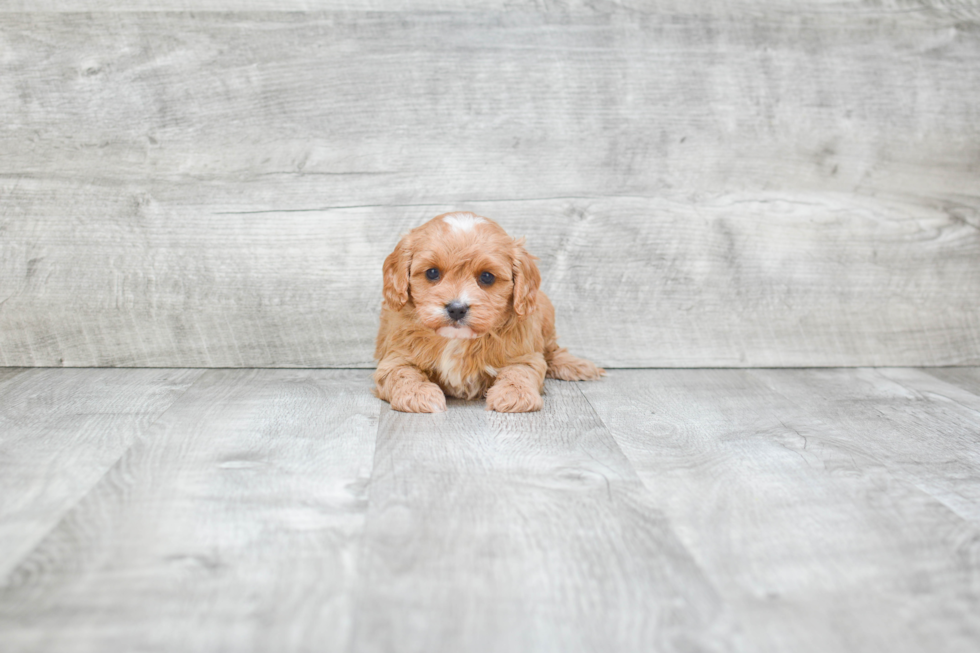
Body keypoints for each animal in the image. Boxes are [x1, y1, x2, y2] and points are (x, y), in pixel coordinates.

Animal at [376, 210, 604, 412]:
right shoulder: (395, 358)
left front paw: (515, 394)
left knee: (552, 350)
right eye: (432, 273)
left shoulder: (524, 355)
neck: (457, 339)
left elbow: (519, 372)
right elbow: (403, 374)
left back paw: (577, 365)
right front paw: (418, 394)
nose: (456, 309)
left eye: (487, 277)